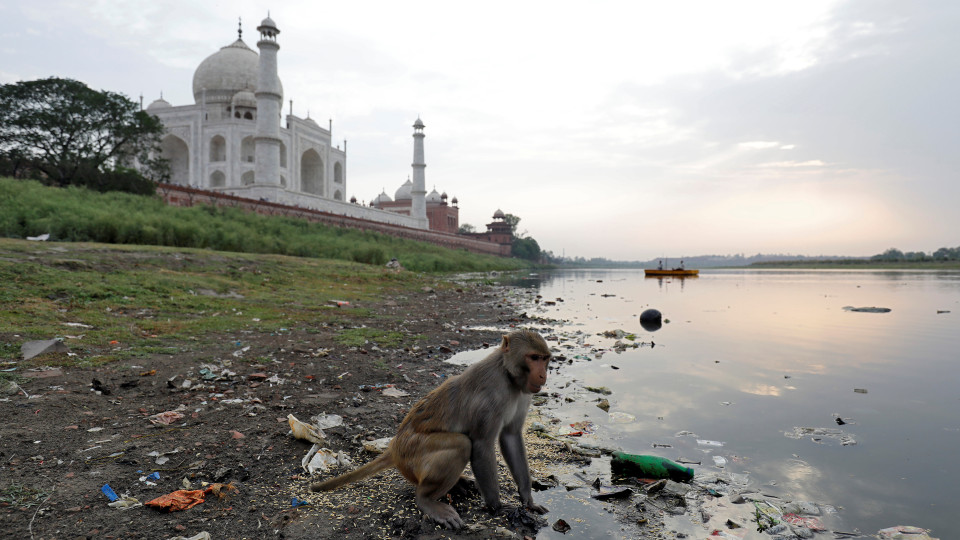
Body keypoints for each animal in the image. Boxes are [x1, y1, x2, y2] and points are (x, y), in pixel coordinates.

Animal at [312, 330, 552, 528]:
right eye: (533, 357)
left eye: (545, 359)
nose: (543, 375)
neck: (508, 375)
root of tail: (394, 446)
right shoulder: (491, 397)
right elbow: (482, 445)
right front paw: (497, 506)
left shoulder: (523, 394)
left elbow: (511, 437)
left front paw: (527, 499)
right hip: (412, 453)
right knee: (462, 444)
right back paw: (426, 500)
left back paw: (458, 484)